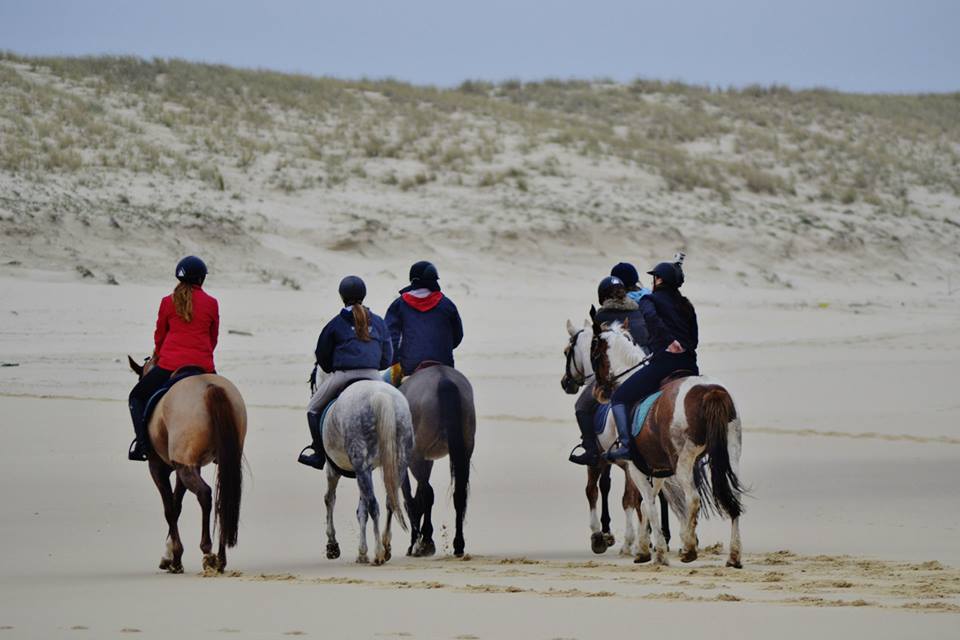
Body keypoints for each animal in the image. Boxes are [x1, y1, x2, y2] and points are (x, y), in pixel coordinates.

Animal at [127, 356, 246, 574]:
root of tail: (209, 387)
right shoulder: (189, 466)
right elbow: (177, 504)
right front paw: (169, 555)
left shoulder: (159, 468)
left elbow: (170, 509)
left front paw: (174, 558)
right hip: (219, 461)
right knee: (222, 500)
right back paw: (221, 558)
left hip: (183, 467)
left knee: (204, 494)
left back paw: (208, 552)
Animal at [315, 373, 413, 565]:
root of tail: (380, 396)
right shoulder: (364, 471)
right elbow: (361, 510)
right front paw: (362, 553)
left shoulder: (334, 469)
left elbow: (330, 499)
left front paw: (333, 546)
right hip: (398, 462)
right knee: (389, 501)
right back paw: (386, 546)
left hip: (361, 467)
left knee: (374, 505)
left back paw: (379, 553)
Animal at [399, 364, 476, 557]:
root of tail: (443, 378)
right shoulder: (428, 460)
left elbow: (411, 498)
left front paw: (417, 541)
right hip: (465, 449)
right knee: (458, 494)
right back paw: (458, 544)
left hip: (415, 456)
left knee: (426, 494)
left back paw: (423, 543)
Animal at [562, 319, 672, 556]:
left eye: (566, 351)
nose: (565, 383)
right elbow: (615, 491)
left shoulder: (598, 459)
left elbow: (594, 492)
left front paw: (601, 536)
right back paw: (661, 539)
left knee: (635, 498)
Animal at [590, 319, 745, 568]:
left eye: (594, 353)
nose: (598, 392)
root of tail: (710, 391)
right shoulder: (658, 469)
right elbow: (647, 504)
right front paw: (644, 549)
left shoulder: (636, 467)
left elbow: (648, 505)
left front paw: (659, 553)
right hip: (731, 453)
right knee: (735, 498)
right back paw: (733, 556)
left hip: (684, 462)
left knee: (693, 499)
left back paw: (689, 549)